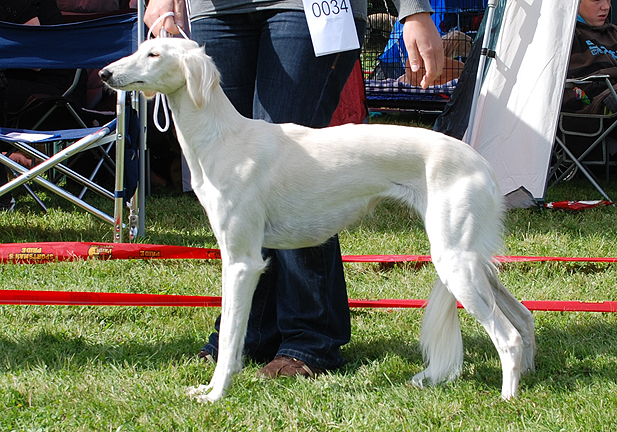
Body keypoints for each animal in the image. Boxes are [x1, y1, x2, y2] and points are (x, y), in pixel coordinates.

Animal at [101, 37, 536, 402]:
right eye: (142, 47)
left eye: (154, 54)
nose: (105, 74)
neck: (222, 138)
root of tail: (481, 162)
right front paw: (210, 387)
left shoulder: (242, 261)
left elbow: (229, 340)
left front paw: (216, 395)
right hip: (469, 260)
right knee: (525, 317)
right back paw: (529, 376)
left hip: (454, 262)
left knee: (508, 337)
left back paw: (507, 398)